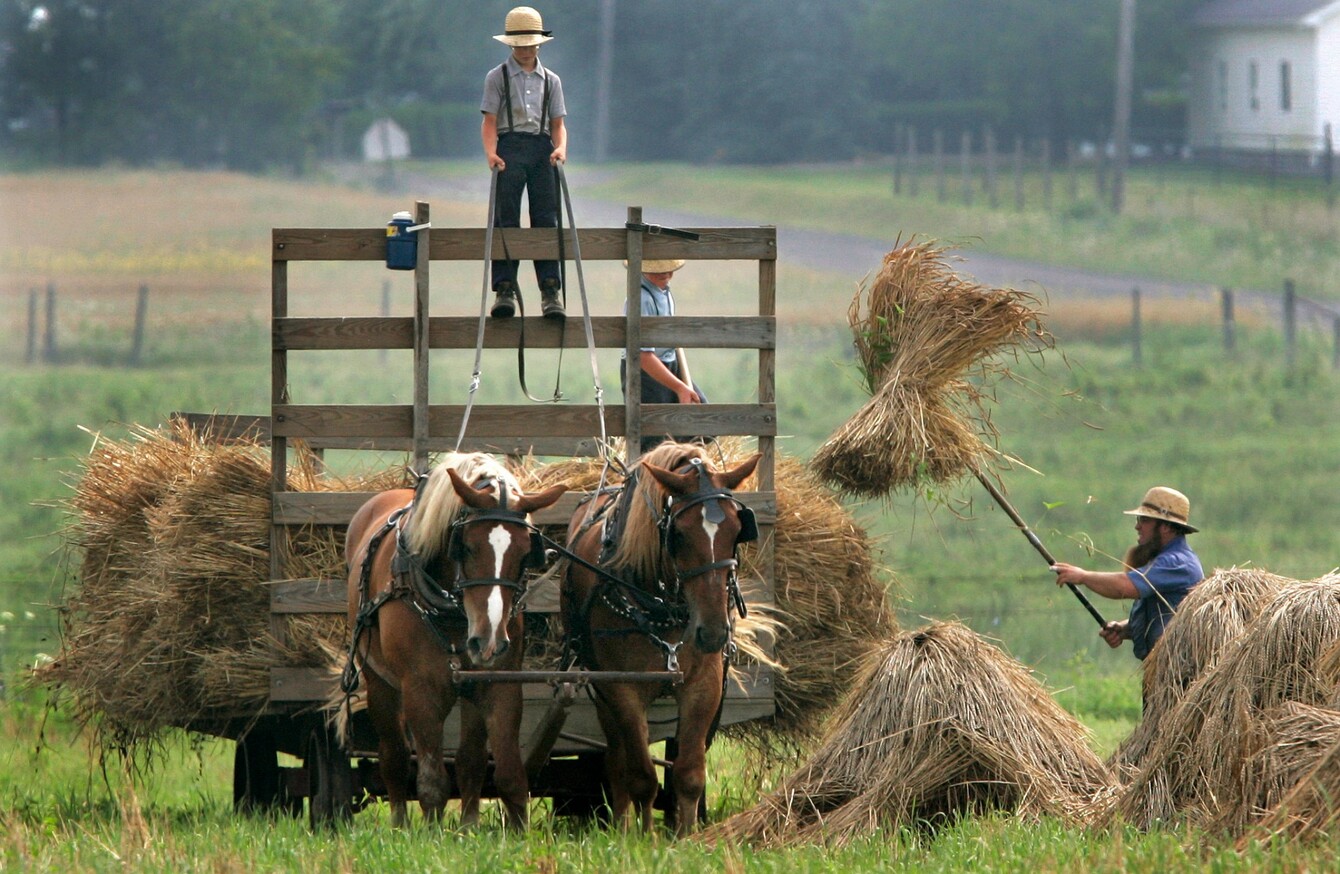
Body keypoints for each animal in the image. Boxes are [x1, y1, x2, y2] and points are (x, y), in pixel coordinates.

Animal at [343, 453, 562, 831]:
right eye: (467, 547)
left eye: (525, 554)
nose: (488, 640)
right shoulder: (421, 689)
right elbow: (431, 780)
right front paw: (431, 834)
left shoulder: (500, 684)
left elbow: (508, 773)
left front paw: (515, 832)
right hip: (379, 681)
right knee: (394, 757)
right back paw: (400, 824)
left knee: (469, 759)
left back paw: (469, 825)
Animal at [560, 445, 761, 831]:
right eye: (678, 534)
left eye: (736, 530)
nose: (713, 631)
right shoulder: (622, 688)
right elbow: (640, 776)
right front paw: (643, 838)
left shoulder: (705, 683)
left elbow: (689, 774)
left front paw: (686, 834)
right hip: (601, 688)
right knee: (617, 759)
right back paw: (622, 827)